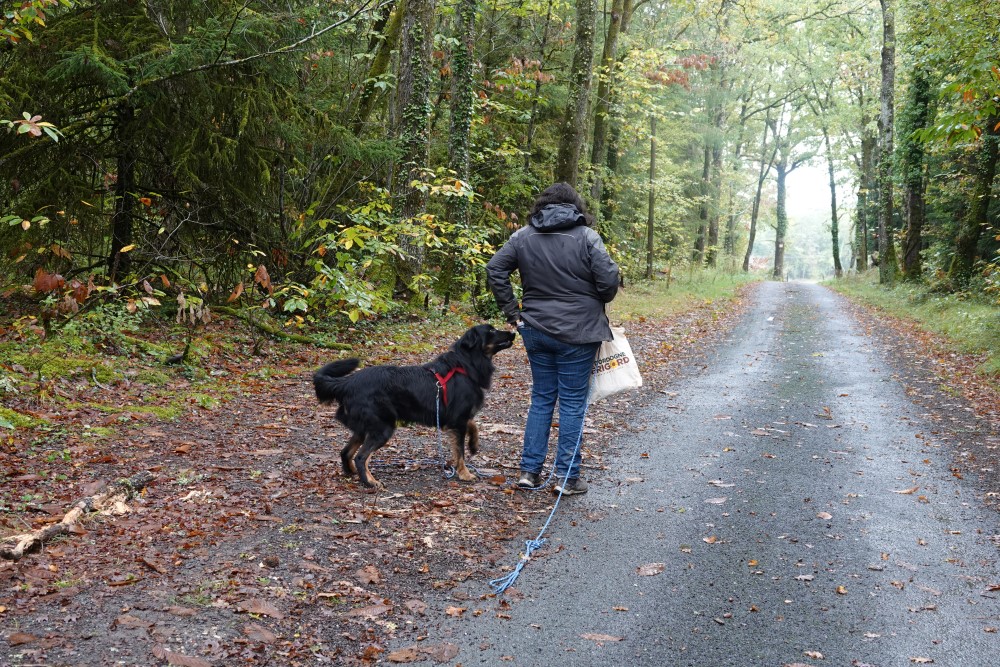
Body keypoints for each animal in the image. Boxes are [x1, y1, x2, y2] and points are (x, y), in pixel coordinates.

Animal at [313, 324, 517, 490]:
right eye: (491, 331)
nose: (514, 333)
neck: (466, 364)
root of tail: (347, 383)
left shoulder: (455, 417)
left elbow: (473, 425)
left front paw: (473, 445)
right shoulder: (457, 419)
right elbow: (460, 451)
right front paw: (465, 474)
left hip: (366, 427)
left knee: (346, 452)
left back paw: (353, 473)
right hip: (382, 427)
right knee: (361, 456)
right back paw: (370, 482)